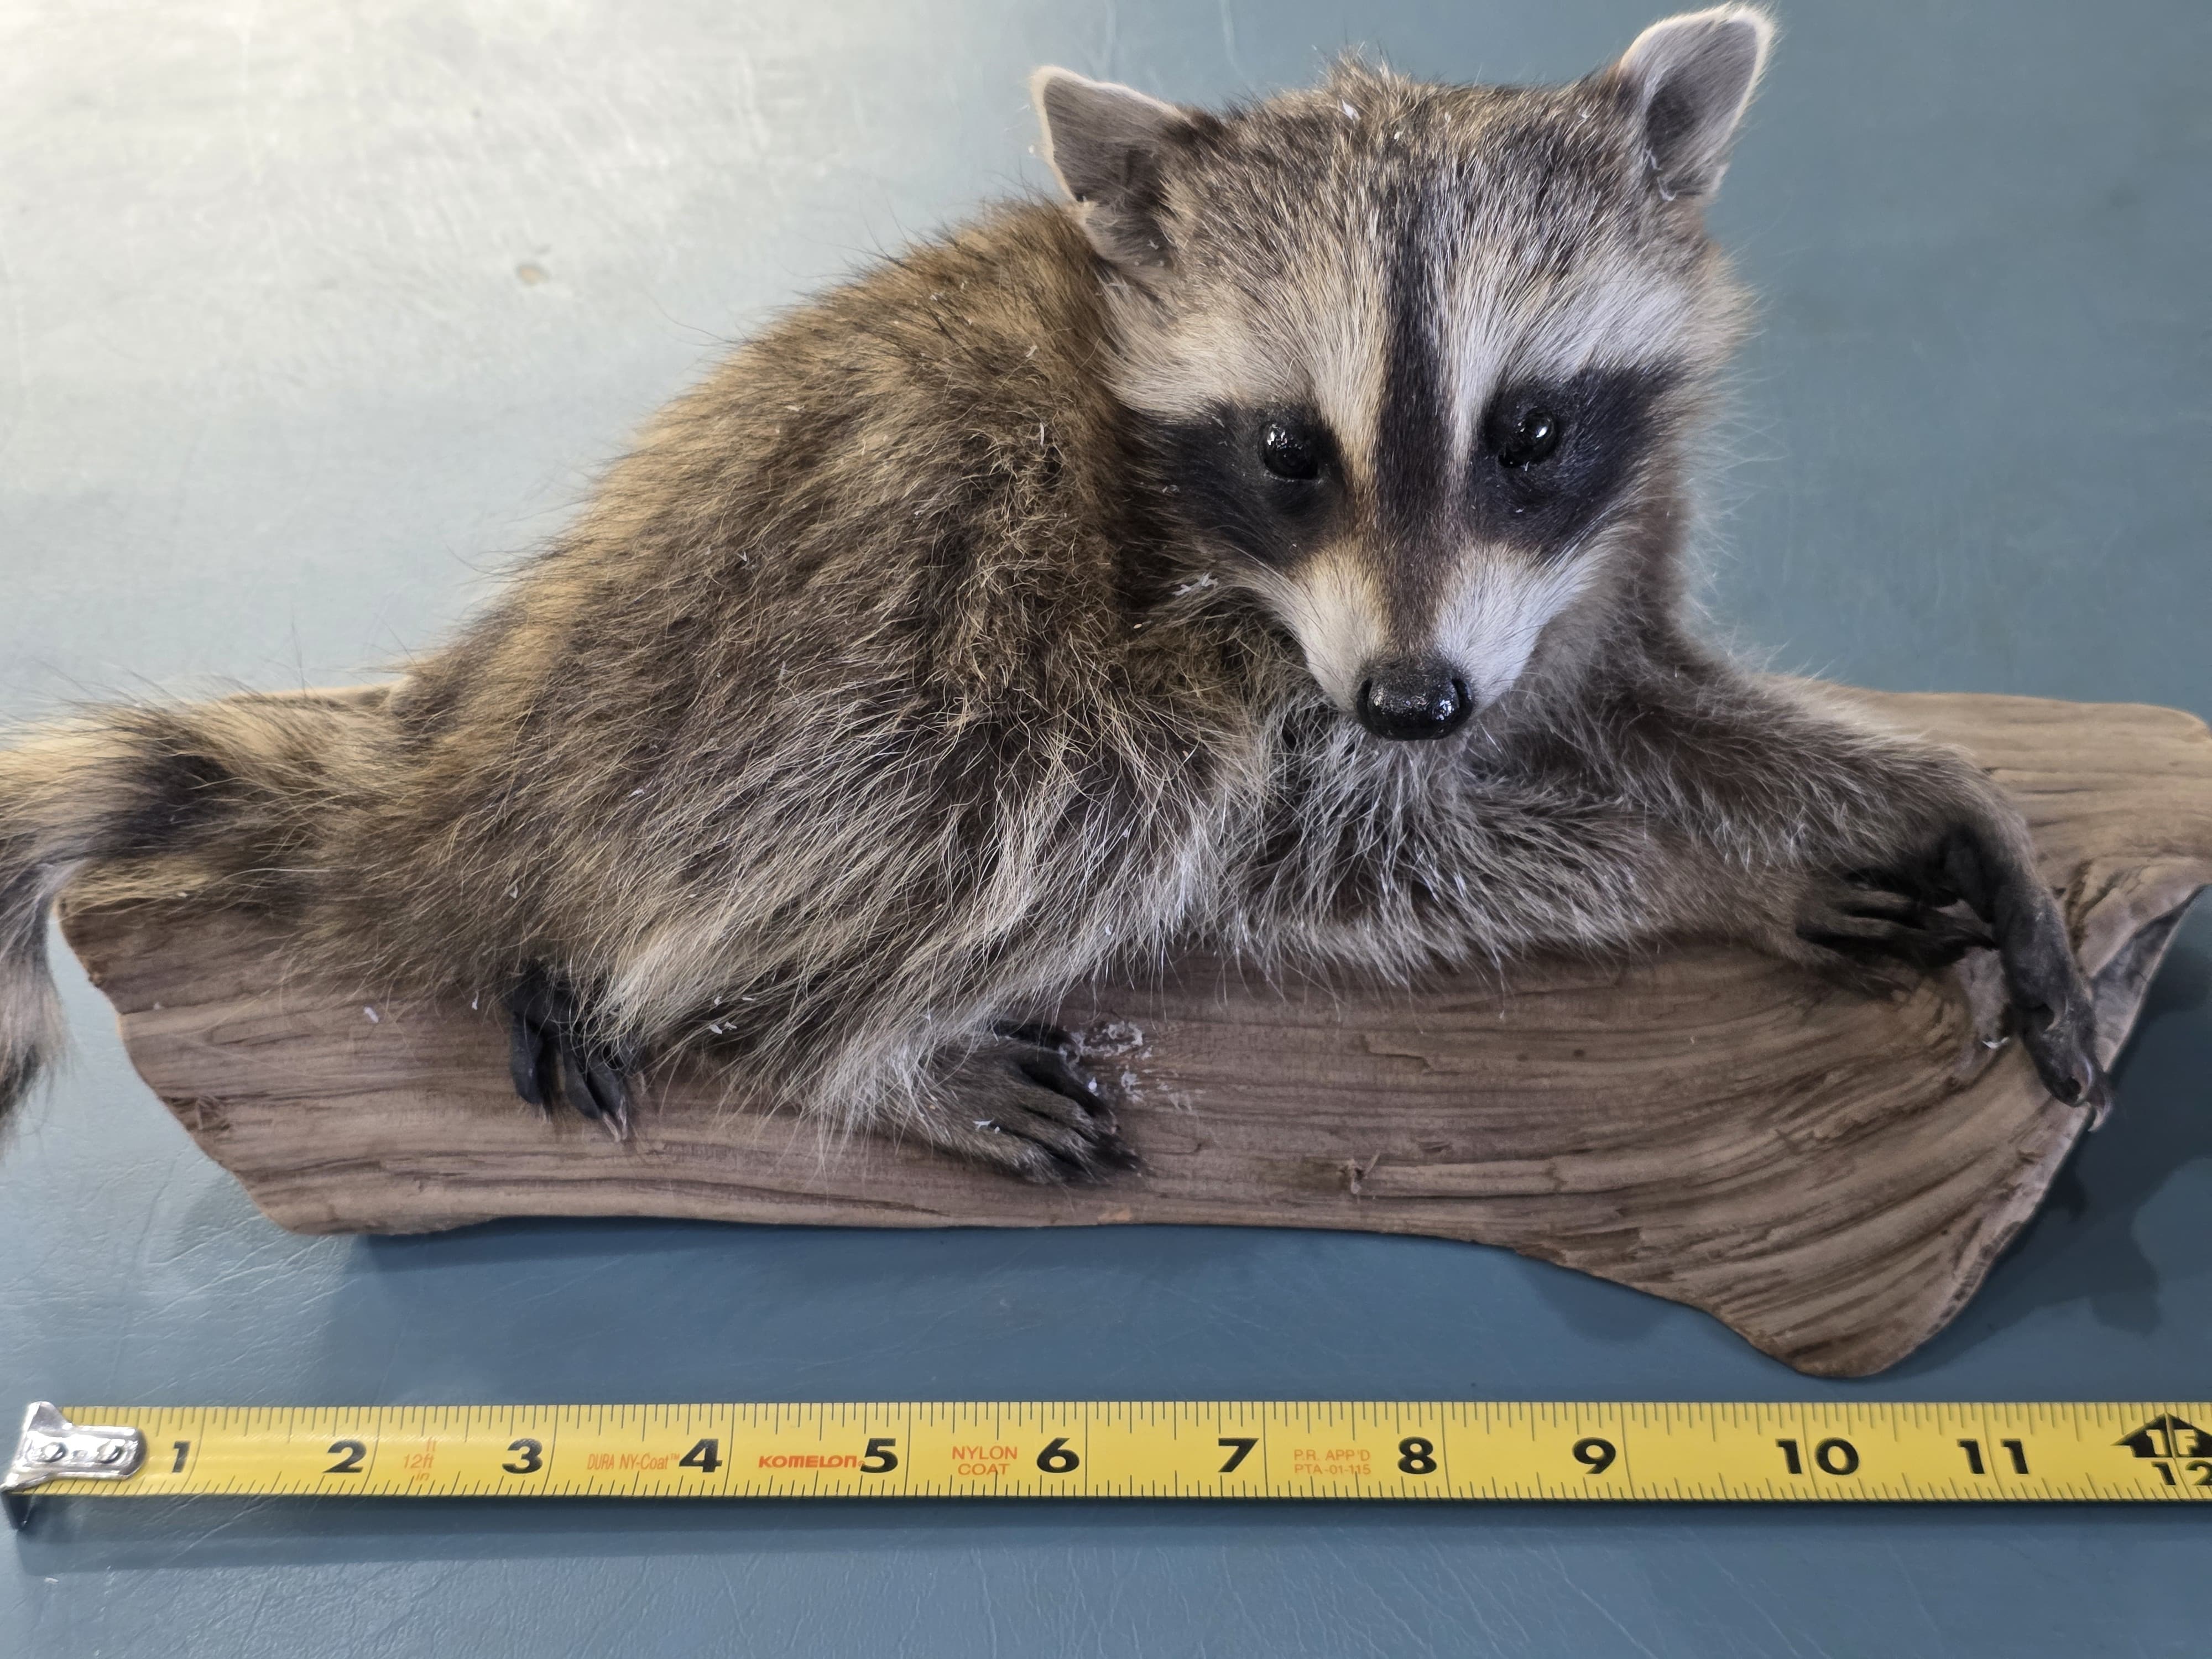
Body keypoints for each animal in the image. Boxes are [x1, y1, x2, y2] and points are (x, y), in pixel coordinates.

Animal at [0, 8, 2105, 1180]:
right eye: (1289, 451)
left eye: (1529, 431)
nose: (1413, 703)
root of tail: (485, 767)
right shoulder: (1209, 631)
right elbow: (1318, 849)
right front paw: (1692, 874)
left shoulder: (1583, 556)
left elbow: (1641, 694)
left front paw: (1913, 792)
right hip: (819, 688)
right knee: (1086, 791)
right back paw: (846, 1049)